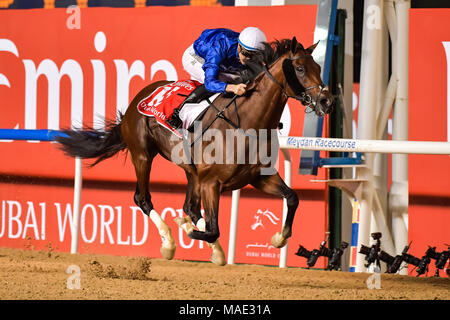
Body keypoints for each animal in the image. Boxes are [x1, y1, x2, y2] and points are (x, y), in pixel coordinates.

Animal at [55, 37, 334, 264]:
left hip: (191, 172)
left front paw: (279, 238)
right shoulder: (212, 182)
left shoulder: (258, 177)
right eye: (299, 69)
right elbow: (213, 228)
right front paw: (189, 231)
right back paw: (169, 242)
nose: (326, 101)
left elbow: (293, 198)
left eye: (319, 68)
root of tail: (139, 98)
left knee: (190, 207)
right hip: (143, 155)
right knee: (143, 198)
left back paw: (211, 247)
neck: (247, 123)